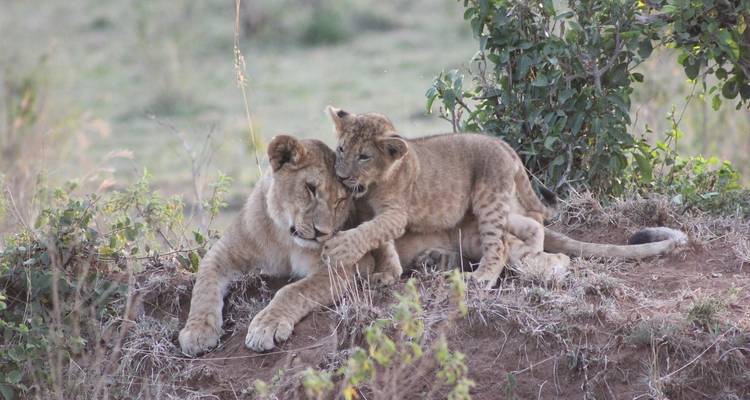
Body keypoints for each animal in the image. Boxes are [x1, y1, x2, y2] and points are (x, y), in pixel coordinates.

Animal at [178, 135, 374, 356]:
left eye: (340, 200)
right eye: (310, 188)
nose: (322, 232)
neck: (285, 240)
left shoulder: (339, 267)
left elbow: (294, 290)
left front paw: (265, 327)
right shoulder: (222, 252)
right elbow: (204, 287)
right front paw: (197, 331)